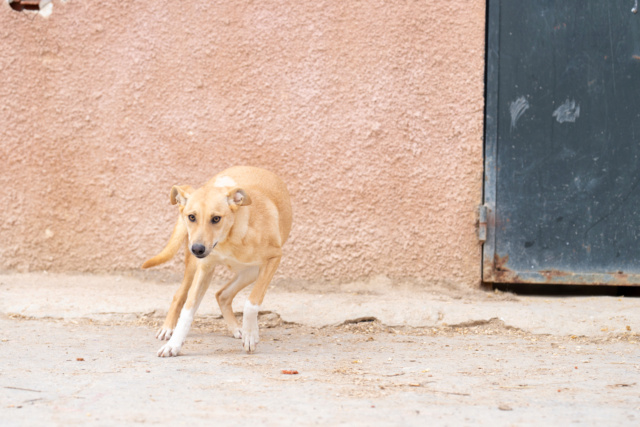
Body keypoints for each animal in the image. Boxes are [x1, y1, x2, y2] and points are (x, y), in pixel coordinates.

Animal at [142, 167, 292, 358]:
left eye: (216, 219)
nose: (197, 249)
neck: (229, 239)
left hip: (252, 271)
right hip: (196, 266)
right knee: (181, 295)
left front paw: (250, 335)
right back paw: (168, 328)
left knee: (223, 294)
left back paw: (239, 329)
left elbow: (251, 302)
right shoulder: (204, 268)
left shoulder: (274, 258)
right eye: (192, 217)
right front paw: (173, 344)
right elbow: (188, 310)